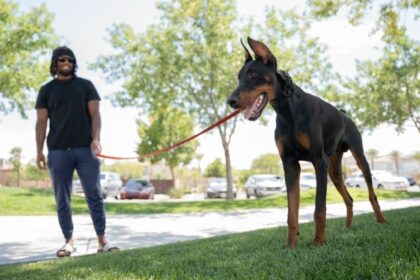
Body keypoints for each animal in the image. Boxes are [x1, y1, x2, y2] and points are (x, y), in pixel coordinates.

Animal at [226, 37, 388, 247]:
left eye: (253, 74)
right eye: (239, 77)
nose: (231, 101)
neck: (287, 110)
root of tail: (344, 114)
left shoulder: (319, 160)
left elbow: (319, 208)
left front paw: (318, 242)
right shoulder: (290, 164)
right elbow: (292, 211)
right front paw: (290, 246)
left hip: (358, 158)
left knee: (371, 193)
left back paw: (381, 221)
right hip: (334, 170)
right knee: (349, 198)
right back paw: (347, 228)